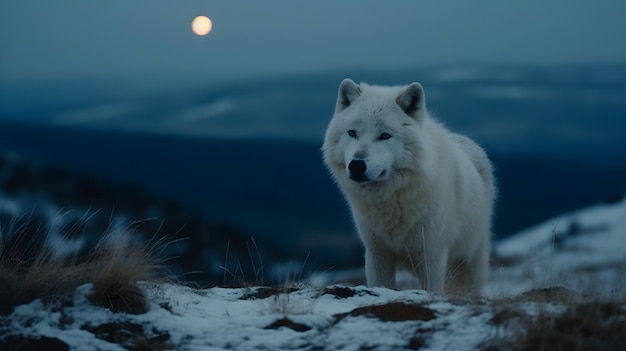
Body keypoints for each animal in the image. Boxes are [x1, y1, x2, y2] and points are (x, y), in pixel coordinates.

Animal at [322, 79, 492, 294]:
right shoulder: (377, 253)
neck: (392, 201)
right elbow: (379, 284)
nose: (357, 165)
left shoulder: (432, 255)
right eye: (352, 133)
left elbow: (433, 291)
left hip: (470, 261)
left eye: (385, 136)